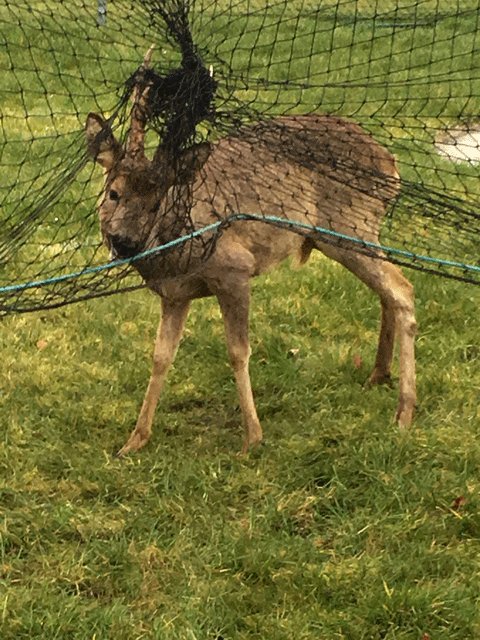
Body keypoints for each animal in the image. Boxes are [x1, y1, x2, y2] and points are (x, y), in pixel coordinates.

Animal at [85, 49, 416, 456]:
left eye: (156, 202)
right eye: (113, 192)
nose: (124, 240)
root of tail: (391, 162)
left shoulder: (234, 268)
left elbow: (238, 352)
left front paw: (252, 437)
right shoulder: (175, 294)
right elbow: (161, 356)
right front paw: (135, 440)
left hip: (351, 227)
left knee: (402, 289)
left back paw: (404, 412)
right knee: (387, 290)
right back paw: (378, 375)